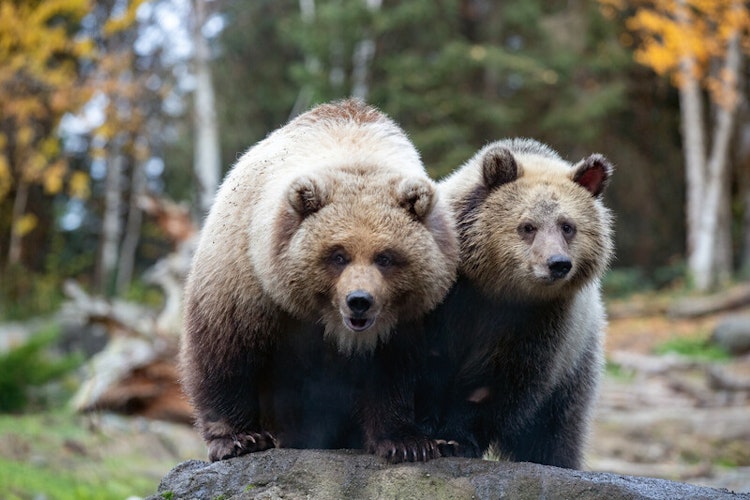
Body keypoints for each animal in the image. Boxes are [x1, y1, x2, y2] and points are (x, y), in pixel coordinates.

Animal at [182, 99, 462, 462]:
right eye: (338, 255)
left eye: (386, 257)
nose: (359, 301)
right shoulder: (248, 274)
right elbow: (227, 348)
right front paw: (240, 438)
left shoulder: (407, 317)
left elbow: (393, 371)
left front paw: (408, 443)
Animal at [420, 137, 612, 468]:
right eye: (528, 226)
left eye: (567, 226)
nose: (557, 264)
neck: (493, 287)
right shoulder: (446, 299)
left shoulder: (538, 321)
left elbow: (498, 381)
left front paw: (457, 439)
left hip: (574, 368)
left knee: (557, 431)